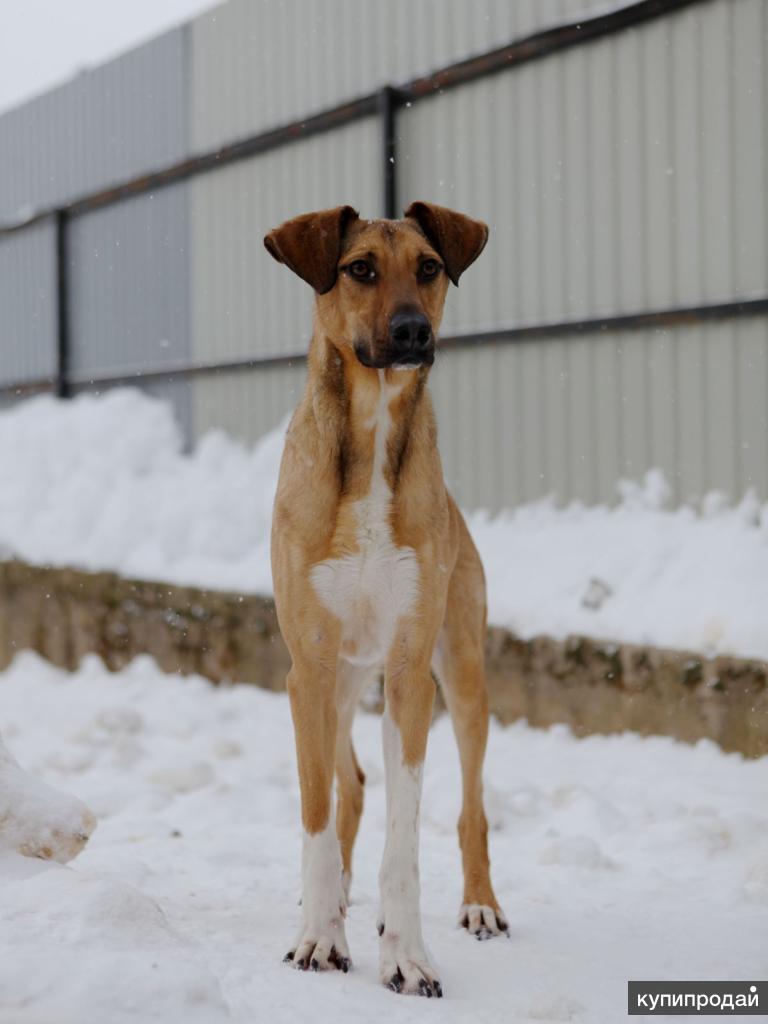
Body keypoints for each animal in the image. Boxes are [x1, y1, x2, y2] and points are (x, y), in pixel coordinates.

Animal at [268, 203, 507, 995]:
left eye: (429, 267)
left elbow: (407, 833)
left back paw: (480, 905)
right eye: (360, 268)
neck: (371, 433)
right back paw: (338, 896)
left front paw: (407, 955)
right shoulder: (308, 671)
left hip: (462, 672)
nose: (410, 332)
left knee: (470, 808)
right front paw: (319, 937)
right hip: (340, 681)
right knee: (349, 784)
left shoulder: (409, 672)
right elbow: (317, 811)